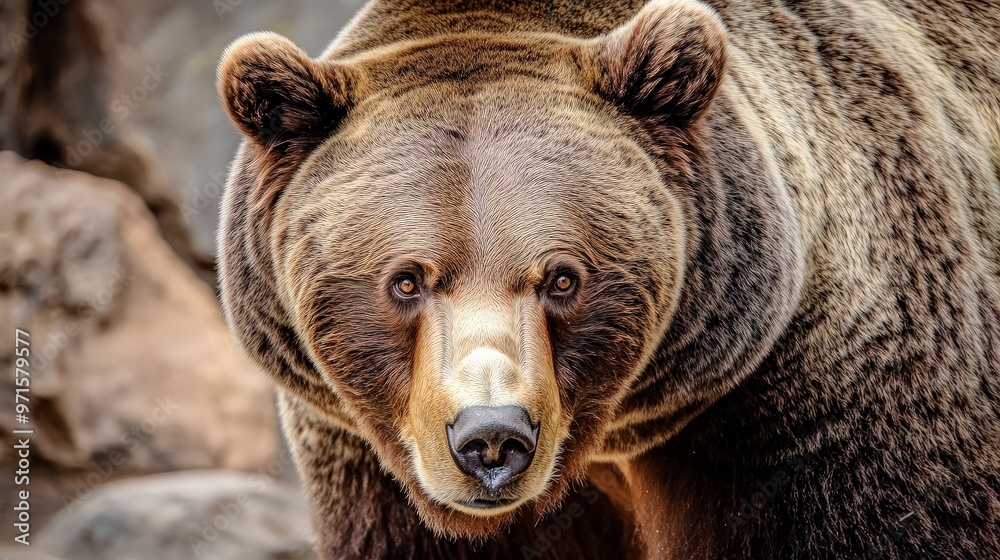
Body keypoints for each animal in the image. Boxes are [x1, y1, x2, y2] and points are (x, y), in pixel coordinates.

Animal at [215, 0, 1000, 558]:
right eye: (406, 281)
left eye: (562, 278)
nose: (491, 438)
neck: (611, 433)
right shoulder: (369, 467)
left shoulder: (814, 400)